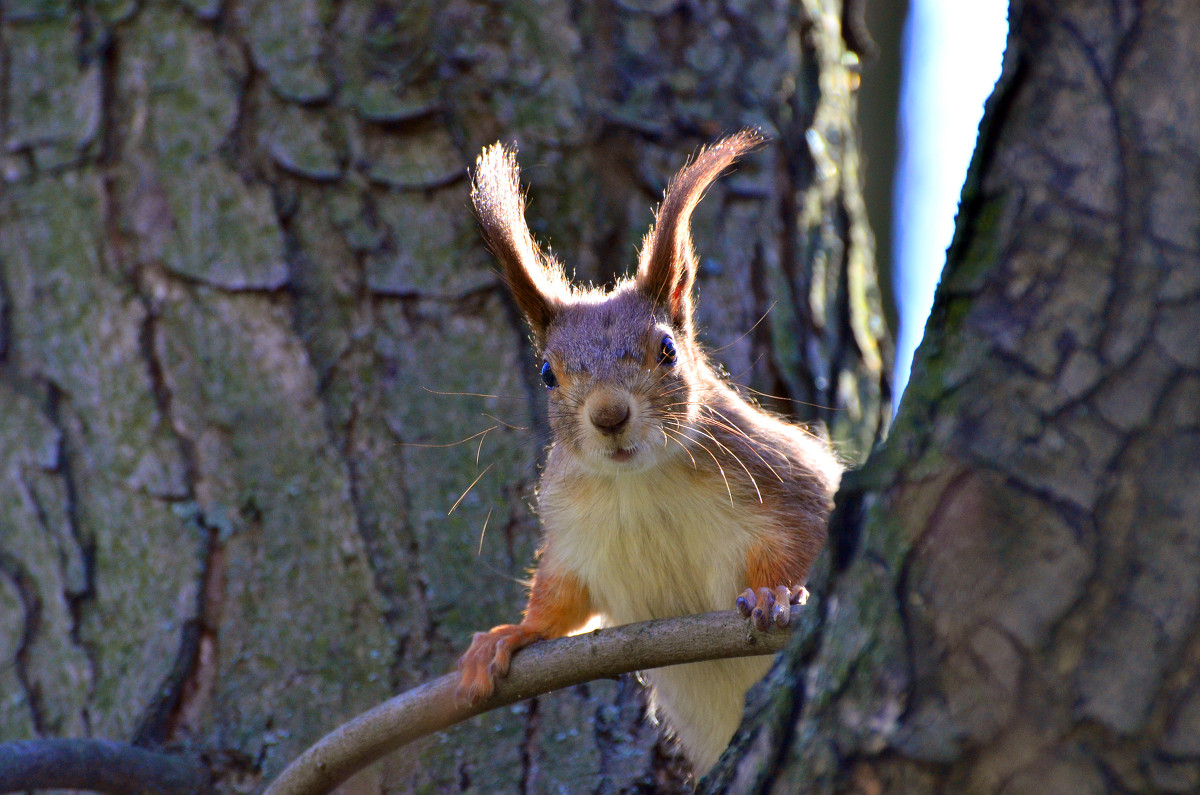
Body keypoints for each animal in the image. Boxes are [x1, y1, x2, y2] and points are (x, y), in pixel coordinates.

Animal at [458, 133, 844, 773]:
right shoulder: (573, 535)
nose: (609, 416)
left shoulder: (789, 480)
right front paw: (512, 634)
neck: (641, 483)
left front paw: (774, 593)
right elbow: (560, 597)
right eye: (547, 374)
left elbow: (805, 537)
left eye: (667, 349)